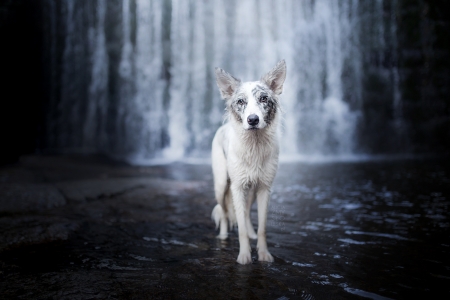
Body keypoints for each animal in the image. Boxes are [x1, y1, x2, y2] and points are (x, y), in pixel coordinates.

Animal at [212, 59, 288, 264]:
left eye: (263, 99)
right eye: (240, 101)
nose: (252, 120)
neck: (254, 145)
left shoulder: (264, 188)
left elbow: (262, 227)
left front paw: (263, 254)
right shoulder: (237, 187)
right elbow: (241, 231)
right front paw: (244, 256)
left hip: (251, 190)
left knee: (245, 212)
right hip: (222, 185)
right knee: (224, 212)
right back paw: (223, 236)